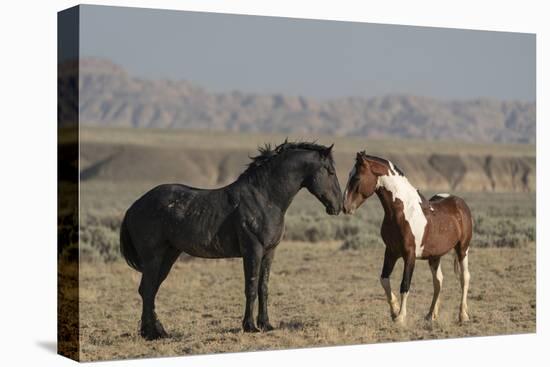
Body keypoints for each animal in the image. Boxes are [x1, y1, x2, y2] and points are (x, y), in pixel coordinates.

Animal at [121, 140, 342, 340]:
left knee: (150, 290)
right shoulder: (253, 251)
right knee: (148, 290)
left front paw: (266, 324)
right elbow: (250, 287)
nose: (338, 205)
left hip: (169, 255)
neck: (264, 198)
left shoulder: (269, 253)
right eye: (330, 171)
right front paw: (250, 326)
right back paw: (151, 334)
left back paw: (158, 332)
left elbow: (263, 288)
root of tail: (134, 206)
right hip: (154, 258)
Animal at [344, 152, 474, 324]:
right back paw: (430, 315)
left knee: (464, 278)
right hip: (435, 256)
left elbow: (405, 285)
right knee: (438, 281)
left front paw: (400, 317)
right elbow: (384, 280)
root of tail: (460, 202)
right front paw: (394, 310)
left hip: (462, 249)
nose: (345, 206)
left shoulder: (409, 255)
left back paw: (463, 315)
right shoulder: (391, 252)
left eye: (357, 177)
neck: (401, 212)